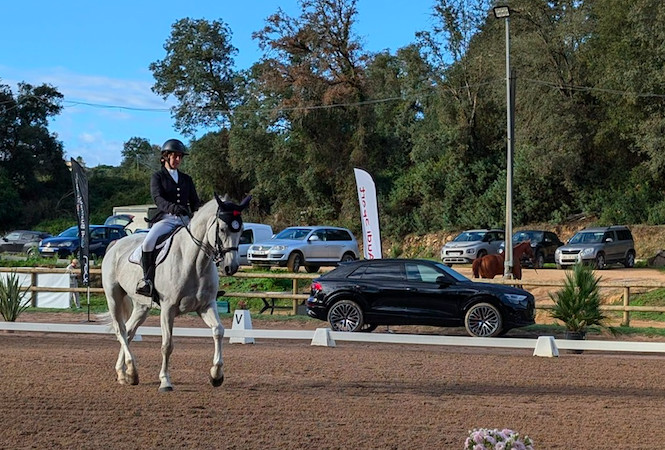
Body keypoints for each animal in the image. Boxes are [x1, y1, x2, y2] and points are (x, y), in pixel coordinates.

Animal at [102, 195, 250, 392]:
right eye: (223, 229)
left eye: (240, 230)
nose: (230, 267)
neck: (194, 262)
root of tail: (116, 244)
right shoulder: (168, 309)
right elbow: (167, 345)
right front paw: (165, 381)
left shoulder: (206, 305)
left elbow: (218, 331)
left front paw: (216, 375)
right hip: (113, 297)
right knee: (120, 329)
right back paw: (131, 370)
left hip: (142, 306)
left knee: (129, 331)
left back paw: (125, 373)